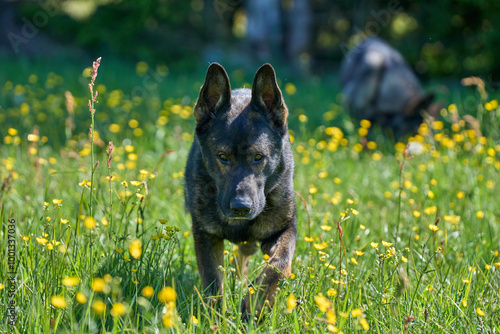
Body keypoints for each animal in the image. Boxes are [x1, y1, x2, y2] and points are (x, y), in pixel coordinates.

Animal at [185, 61, 296, 320]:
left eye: (258, 157)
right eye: (223, 157)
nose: (241, 207)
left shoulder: (284, 229)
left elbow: (278, 266)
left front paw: (255, 303)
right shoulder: (205, 235)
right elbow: (213, 282)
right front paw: (215, 319)